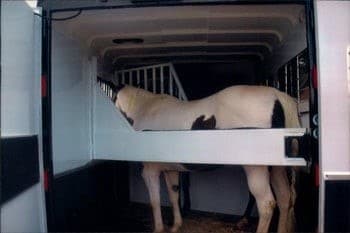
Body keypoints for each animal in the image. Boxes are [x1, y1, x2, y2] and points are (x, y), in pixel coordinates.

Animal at [113, 85, 300, 233]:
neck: (146, 110)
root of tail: (277, 95)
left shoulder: (150, 171)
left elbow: (154, 201)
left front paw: (159, 229)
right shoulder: (170, 169)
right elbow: (174, 196)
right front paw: (175, 226)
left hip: (256, 168)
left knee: (266, 204)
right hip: (277, 168)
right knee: (284, 198)